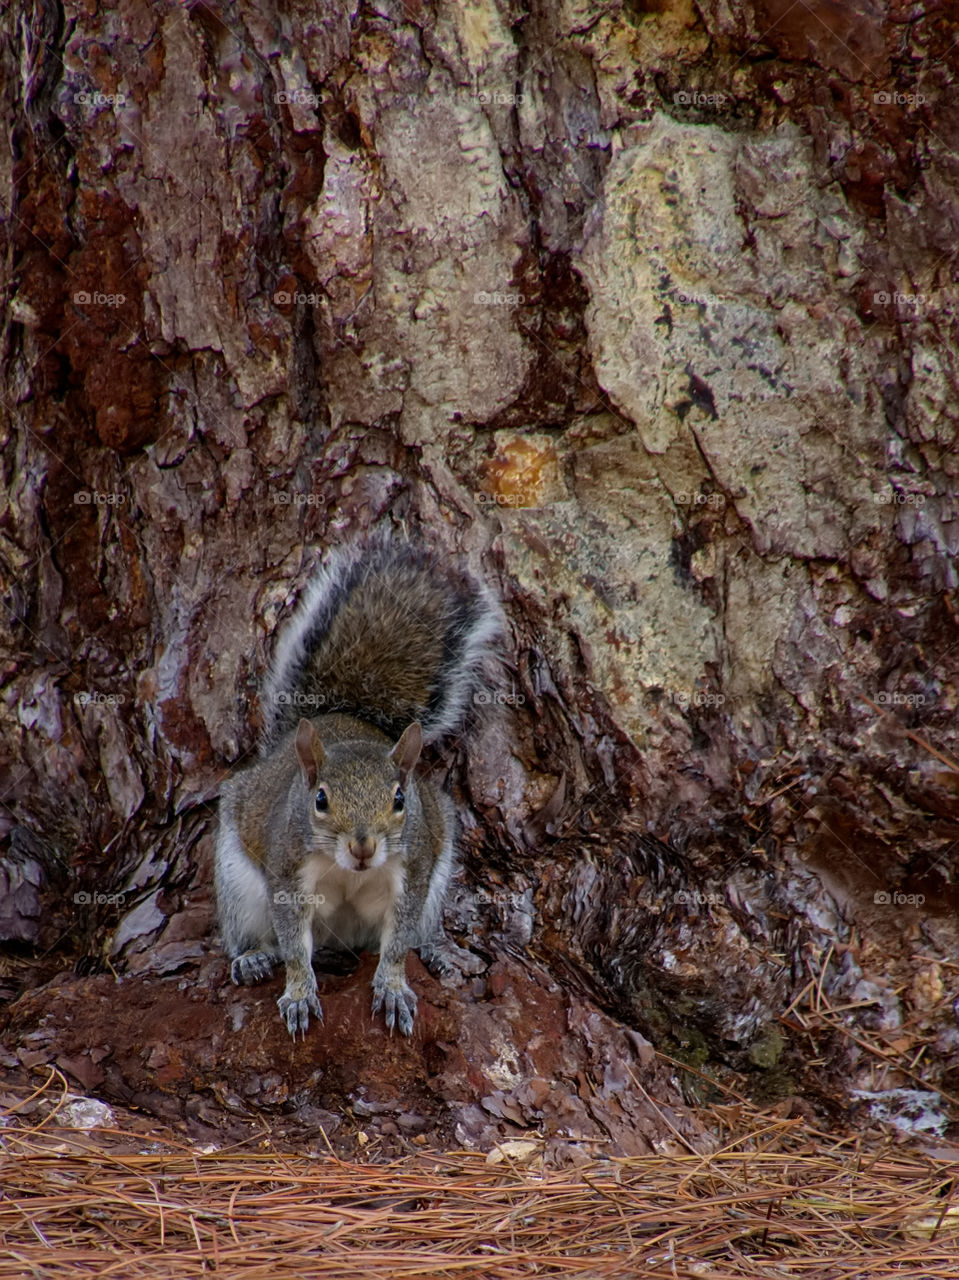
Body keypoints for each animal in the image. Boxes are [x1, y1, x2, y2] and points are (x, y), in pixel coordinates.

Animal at [213, 535, 501, 1034]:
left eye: (401, 798)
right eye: (320, 799)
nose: (363, 846)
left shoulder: (415, 873)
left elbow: (399, 942)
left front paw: (392, 987)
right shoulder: (287, 872)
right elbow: (294, 946)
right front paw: (300, 994)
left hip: (437, 882)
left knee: (414, 934)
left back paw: (436, 950)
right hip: (238, 883)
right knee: (257, 937)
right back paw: (252, 958)